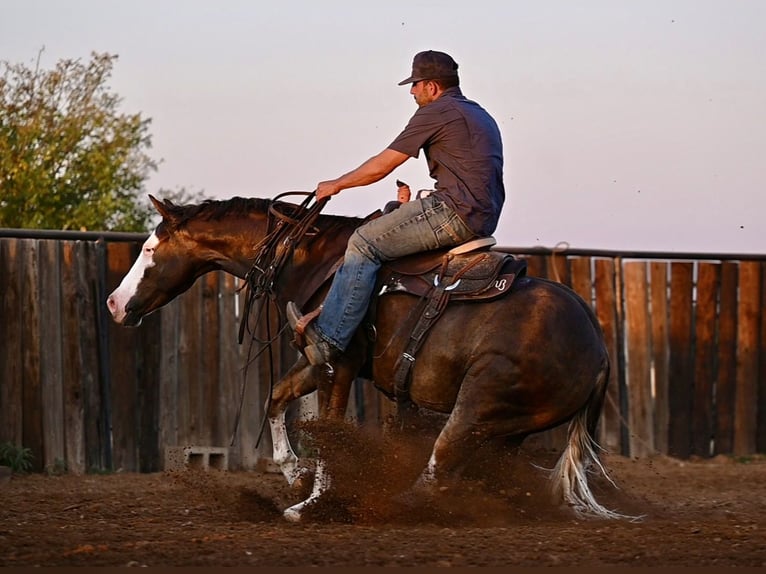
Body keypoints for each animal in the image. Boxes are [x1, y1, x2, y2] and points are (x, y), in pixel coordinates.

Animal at [105, 196, 632, 524]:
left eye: (149, 248)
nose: (113, 303)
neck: (311, 258)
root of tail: (599, 349)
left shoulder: (337, 365)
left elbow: (331, 432)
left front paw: (310, 504)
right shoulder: (317, 360)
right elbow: (276, 400)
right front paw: (294, 475)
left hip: (478, 406)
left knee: (439, 466)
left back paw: (390, 506)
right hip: (505, 431)